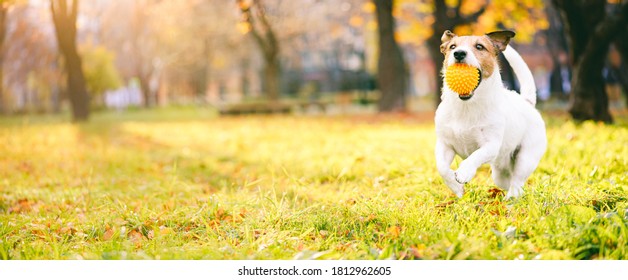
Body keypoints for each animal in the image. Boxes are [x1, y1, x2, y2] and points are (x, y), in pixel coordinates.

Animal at [434, 29, 548, 198]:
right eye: (452, 47)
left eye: (479, 46)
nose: (459, 53)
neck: (466, 106)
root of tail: (527, 102)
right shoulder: (444, 144)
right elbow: (441, 167)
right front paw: (456, 187)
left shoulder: (491, 145)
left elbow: (476, 156)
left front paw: (464, 172)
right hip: (500, 171)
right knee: (508, 181)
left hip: (526, 158)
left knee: (517, 182)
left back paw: (511, 198)